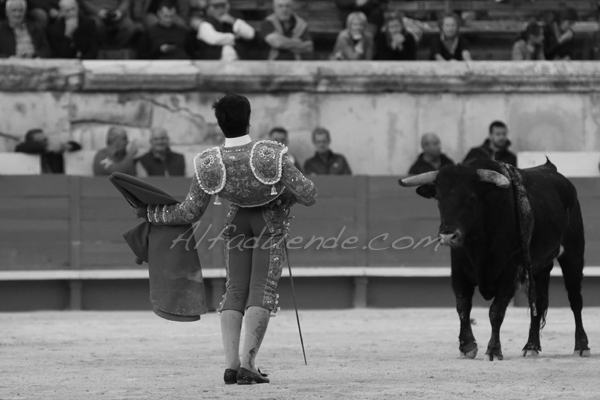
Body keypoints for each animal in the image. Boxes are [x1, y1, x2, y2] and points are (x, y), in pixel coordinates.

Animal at [398, 159, 592, 360]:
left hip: (573, 253)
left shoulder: (510, 273)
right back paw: (531, 346)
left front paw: (493, 350)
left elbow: (496, 311)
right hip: (539, 267)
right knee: (538, 302)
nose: (447, 236)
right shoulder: (458, 271)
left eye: (471, 197)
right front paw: (467, 346)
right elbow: (463, 307)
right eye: (438, 199)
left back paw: (581, 346)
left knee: (575, 300)